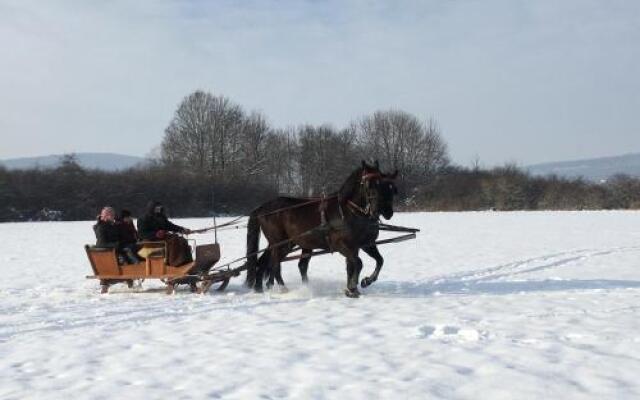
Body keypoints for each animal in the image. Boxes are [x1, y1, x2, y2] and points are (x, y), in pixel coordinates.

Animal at [244, 160, 398, 296]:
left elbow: (377, 261)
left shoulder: (364, 244)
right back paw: (282, 288)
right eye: (368, 185)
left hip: (285, 243)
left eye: (384, 185)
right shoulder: (341, 245)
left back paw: (259, 288)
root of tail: (262, 208)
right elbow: (358, 263)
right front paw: (353, 287)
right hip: (280, 243)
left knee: (265, 262)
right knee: (275, 264)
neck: (348, 211)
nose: (385, 211)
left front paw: (363, 283)